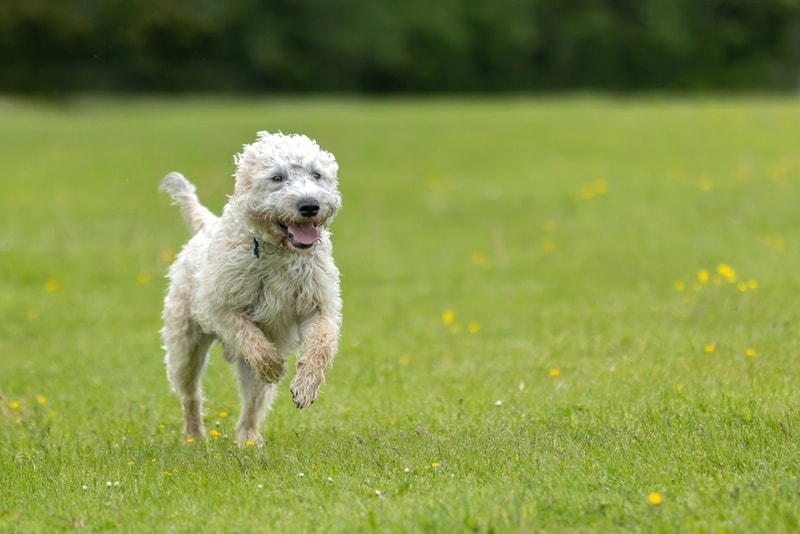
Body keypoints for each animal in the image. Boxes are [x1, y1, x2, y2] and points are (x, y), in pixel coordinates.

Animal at [159, 132, 340, 446]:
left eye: (317, 174)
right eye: (277, 177)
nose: (309, 205)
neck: (280, 252)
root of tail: (205, 226)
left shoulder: (320, 303)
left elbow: (322, 342)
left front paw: (305, 385)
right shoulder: (220, 307)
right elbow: (248, 335)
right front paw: (274, 366)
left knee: (251, 407)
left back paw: (249, 441)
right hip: (184, 347)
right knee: (191, 395)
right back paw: (195, 437)